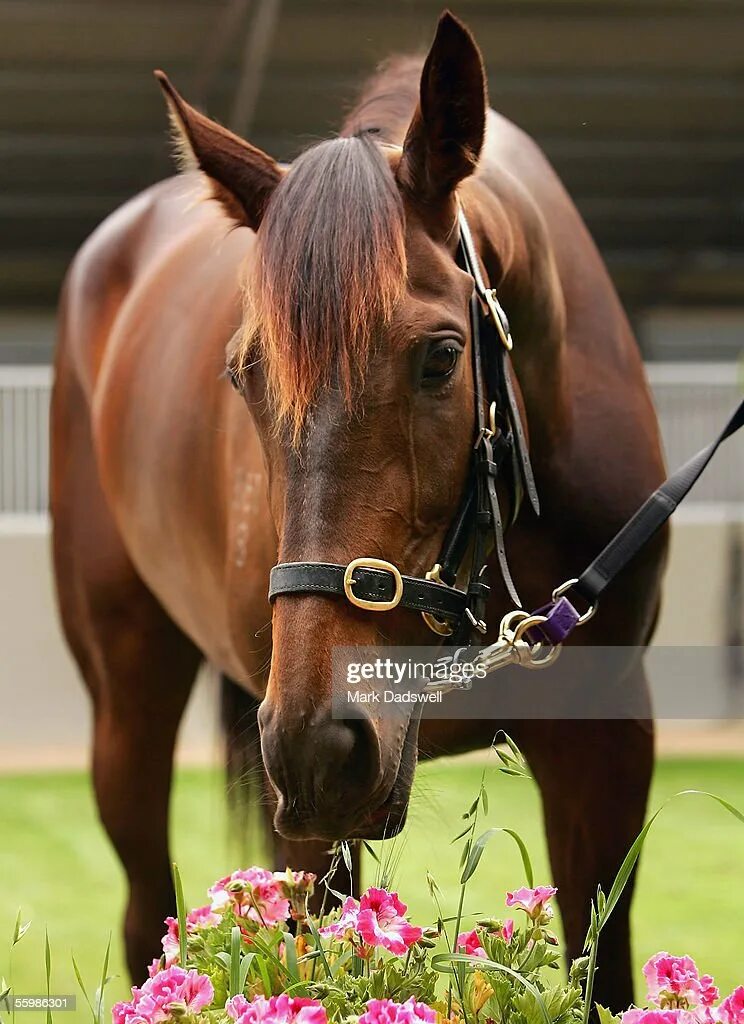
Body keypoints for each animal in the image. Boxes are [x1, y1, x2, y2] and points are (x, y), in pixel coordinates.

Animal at [52, 12, 671, 1007]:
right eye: (245, 373)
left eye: (442, 357)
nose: (318, 744)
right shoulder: (306, 814)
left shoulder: (609, 744)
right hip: (132, 698)